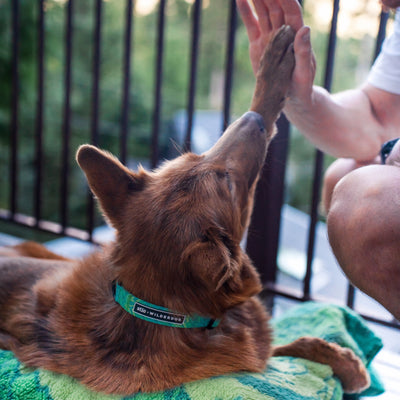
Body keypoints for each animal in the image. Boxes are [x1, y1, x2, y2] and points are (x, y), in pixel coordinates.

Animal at [0, 27, 368, 394]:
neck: (158, 309)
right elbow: (280, 350)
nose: (252, 119)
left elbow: (290, 344)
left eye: (196, 155)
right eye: (227, 182)